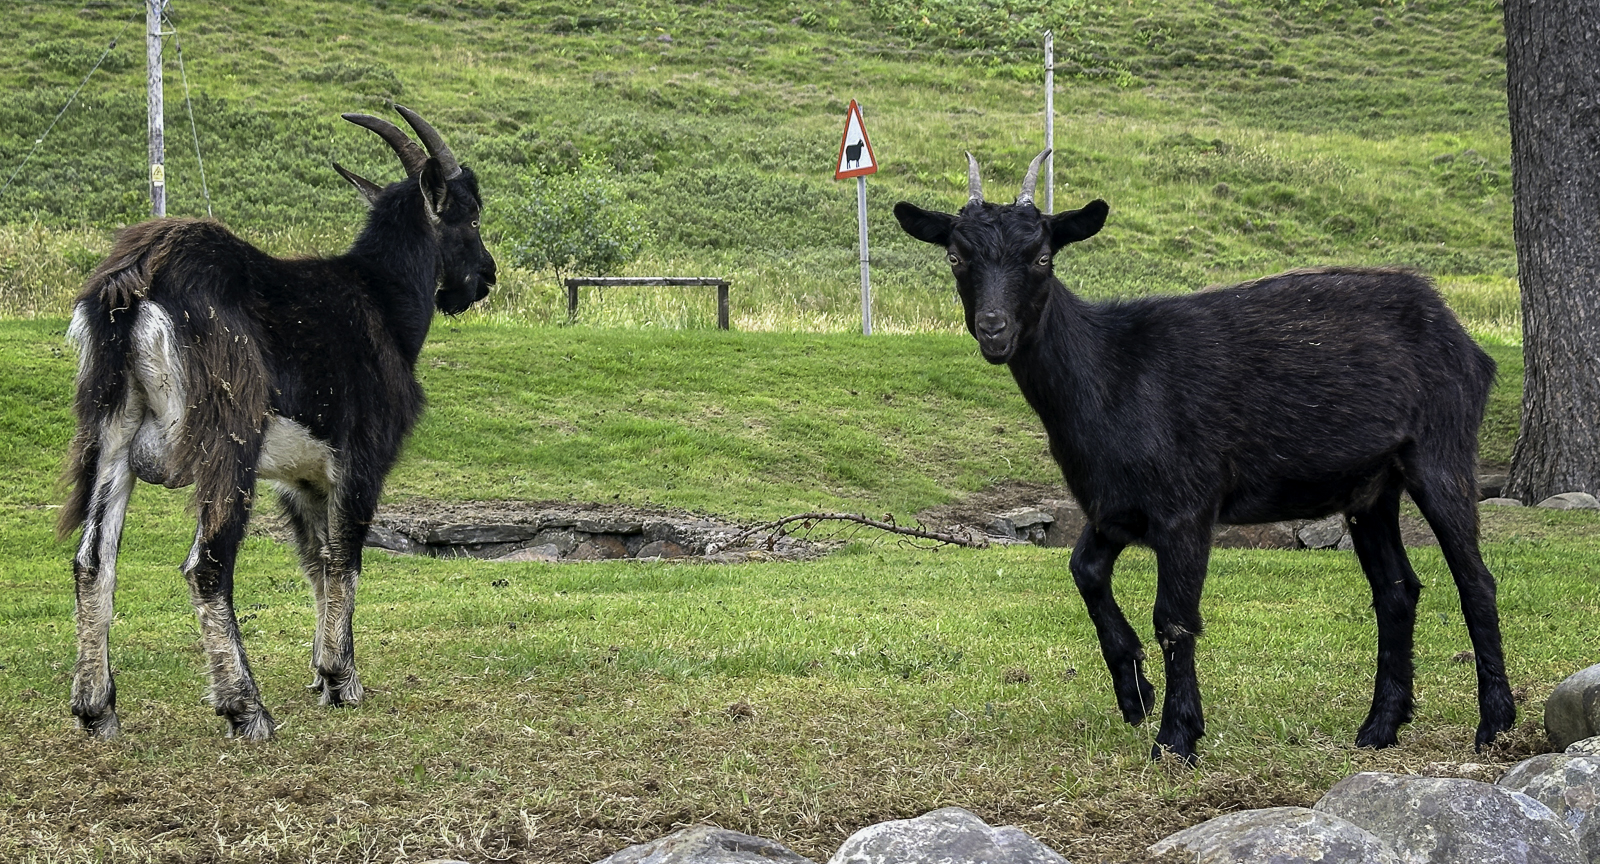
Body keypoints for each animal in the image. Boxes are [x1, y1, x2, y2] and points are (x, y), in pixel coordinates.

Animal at [59, 106, 495, 741]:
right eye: (471, 213)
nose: (486, 277)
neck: (381, 302)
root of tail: (138, 278)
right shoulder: (360, 463)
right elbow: (345, 560)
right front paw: (340, 679)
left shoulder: (303, 479)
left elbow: (317, 563)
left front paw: (324, 673)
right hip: (229, 443)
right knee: (208, 565)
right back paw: (245, 707)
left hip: (110, 432)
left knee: (93, 562)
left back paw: (97, 709)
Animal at [893, 150, 1515, 762]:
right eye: (955, 256)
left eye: (1043, 257)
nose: (994, 330)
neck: (1112, 371)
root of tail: (1464, 339)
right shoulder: (1115, 506)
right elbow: (1084, 571)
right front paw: (1135, 692)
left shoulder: (1186, 504)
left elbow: (1174, 619)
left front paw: (1177, 737)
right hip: (1370, 488)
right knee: (1396, 592)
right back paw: (1380, 727)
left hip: (1441, 452)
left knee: (1476, 581)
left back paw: (1495, 725)